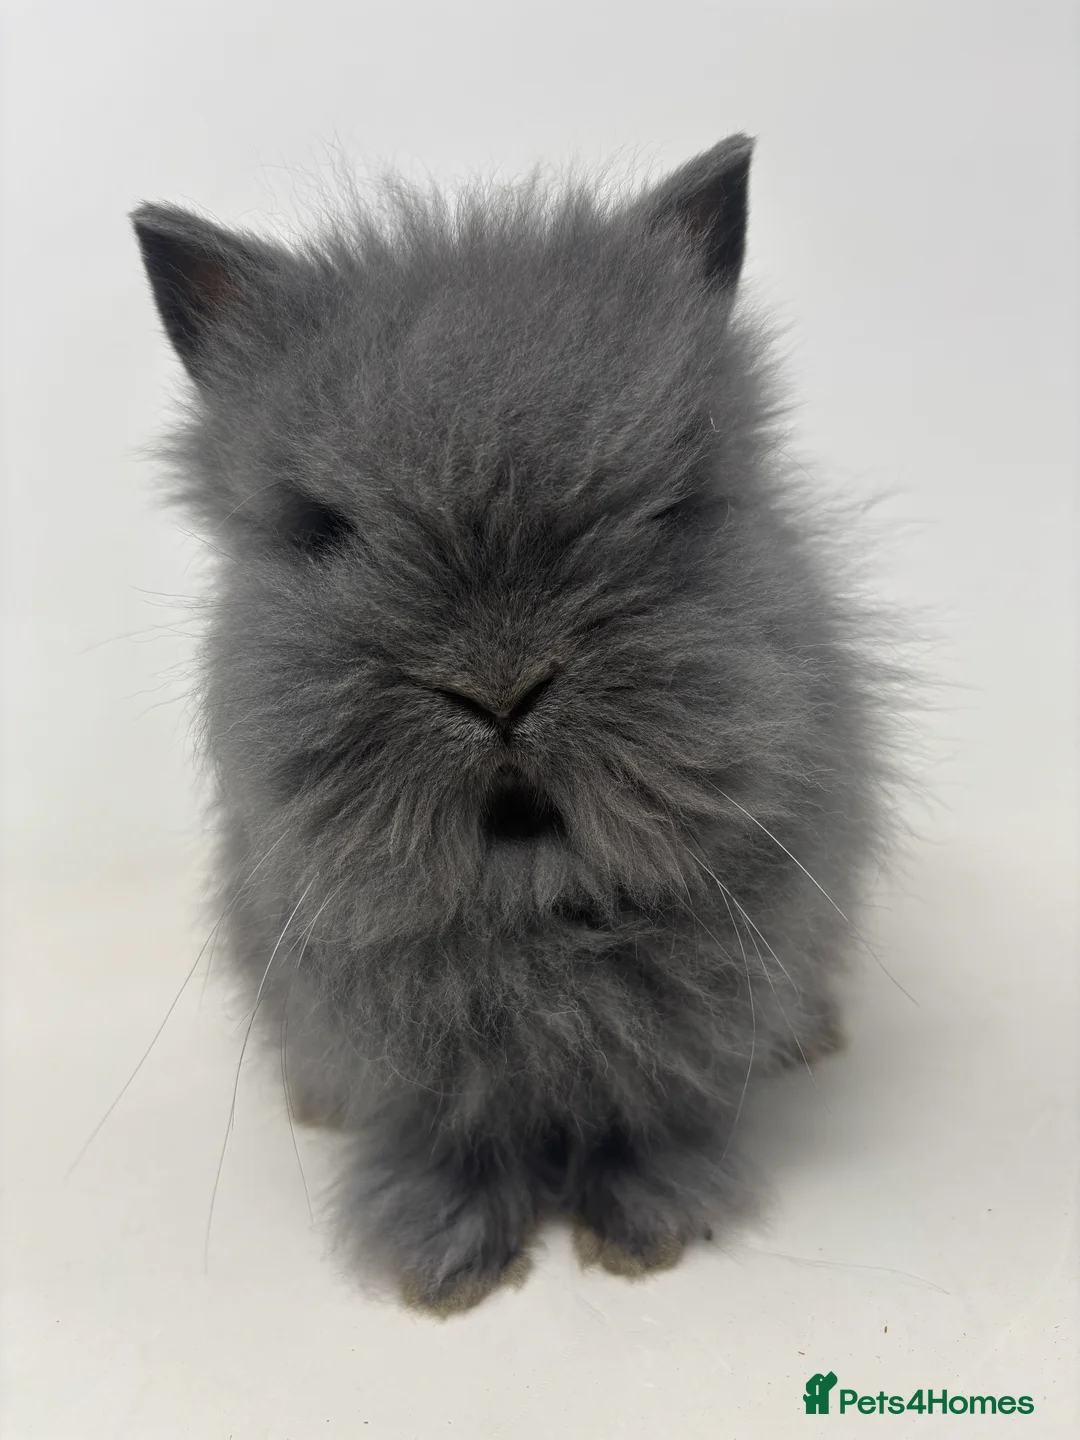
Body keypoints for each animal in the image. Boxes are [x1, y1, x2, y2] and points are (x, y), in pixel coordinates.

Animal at [133, 135, 899, 1315]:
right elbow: (453, 1137)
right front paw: (442, 1264)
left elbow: (648, 1113)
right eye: (322, 529)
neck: (533, 911)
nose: (500, 691)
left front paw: (643, 1229)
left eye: (668, 507)